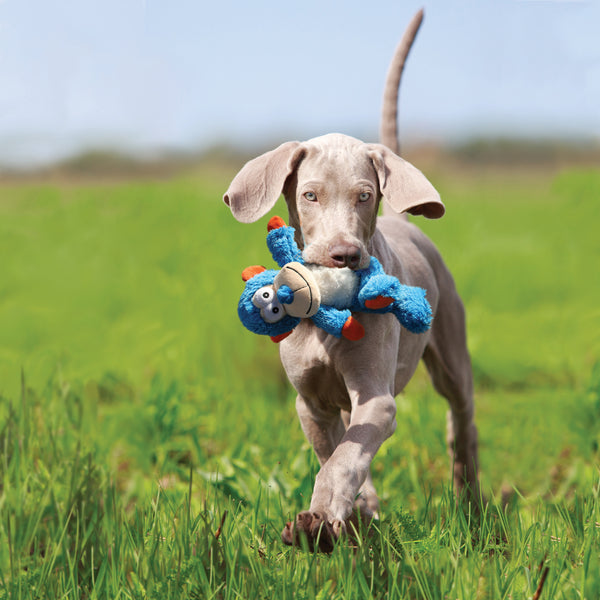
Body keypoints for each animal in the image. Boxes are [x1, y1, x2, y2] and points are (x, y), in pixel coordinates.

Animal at [223, 10, 480, 552]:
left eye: (365, 196)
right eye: (310, 195)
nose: (344, 255)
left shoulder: (376, 399)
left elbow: (344, 460)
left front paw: (321, 520)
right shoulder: (310, 403)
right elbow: (336, 454)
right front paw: (341, 518)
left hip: (451, 353)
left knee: (461, 423)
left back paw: (471, 505)